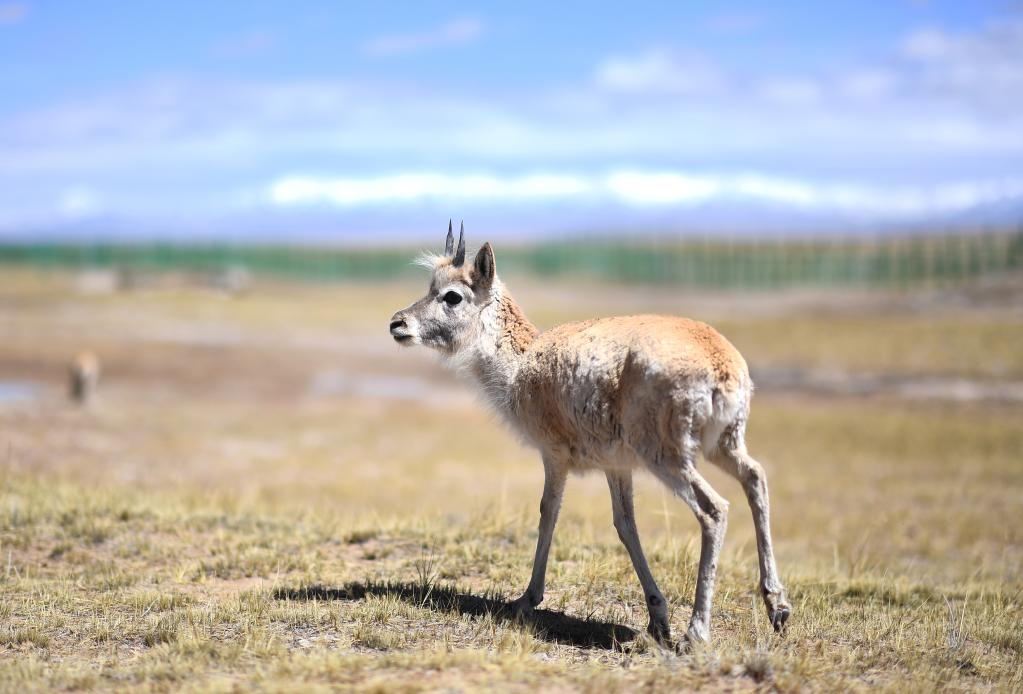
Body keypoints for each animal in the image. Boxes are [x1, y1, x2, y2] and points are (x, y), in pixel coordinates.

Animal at [388, 225, 789, 651]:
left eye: (452, 295)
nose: (398, 323)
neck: (523, 361)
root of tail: (723, 362)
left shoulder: (554, 456)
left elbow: (548, 511)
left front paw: (526, 599)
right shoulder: (617, 467)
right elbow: (625, 524)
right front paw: (657, 616)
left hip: (669, 458)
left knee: (715, 509)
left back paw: (696, 633)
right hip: (724, 445)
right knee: (755, 477)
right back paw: (777, 607)